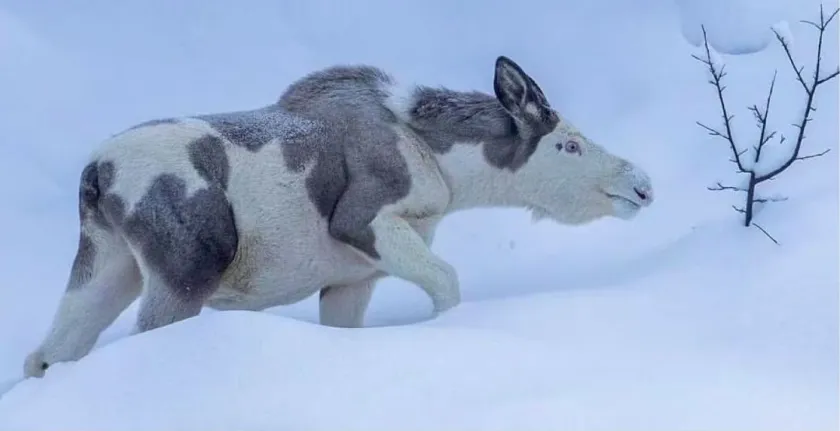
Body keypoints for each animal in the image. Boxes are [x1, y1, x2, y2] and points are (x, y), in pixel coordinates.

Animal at [24, 56, 656, 378]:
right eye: (568, 145)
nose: (642, 185)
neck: (451, 171)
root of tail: (95, 175)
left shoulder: (351, 279)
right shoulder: (364, 222)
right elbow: (447, 284)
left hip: (107, 267)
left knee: (47, 354)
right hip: (187, 271)